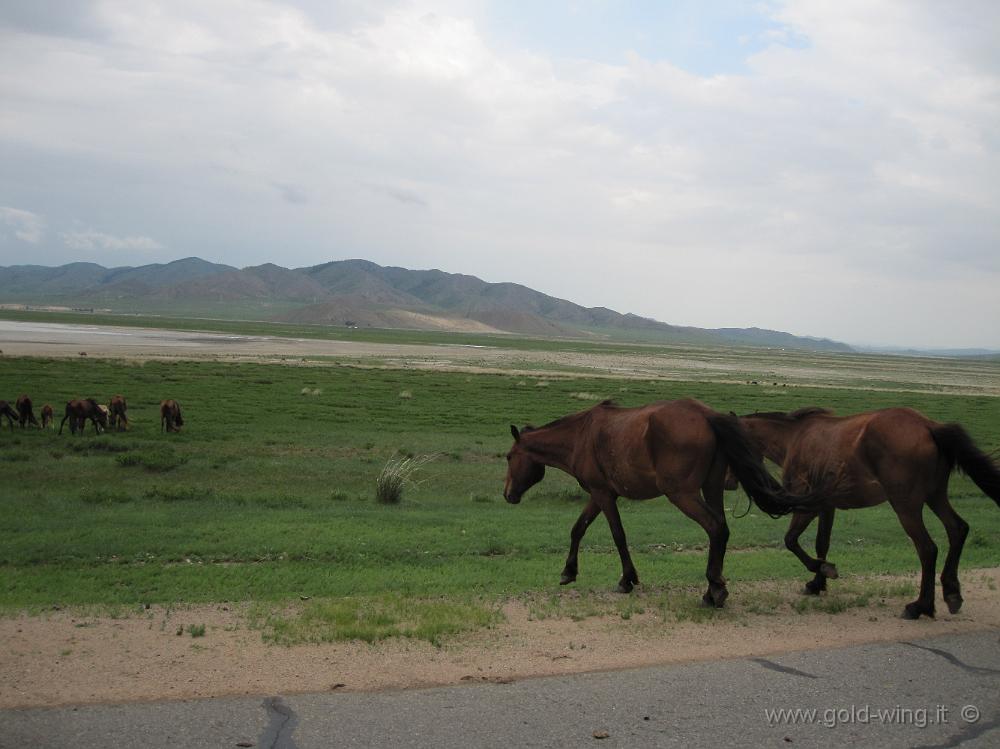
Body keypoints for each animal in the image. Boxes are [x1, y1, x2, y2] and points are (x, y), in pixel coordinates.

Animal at [500, 400, 828, 604]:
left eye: (509, 457)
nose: (507, 494)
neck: (580, 436)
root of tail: (706, 415)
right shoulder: (601, 493)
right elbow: (578, 529)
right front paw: (569, 571)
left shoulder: (603, 494)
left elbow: (618, 535)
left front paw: (627, 579)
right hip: (712, 487)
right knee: (721, 529)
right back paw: (715, 587)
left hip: (682, 494)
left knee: (715, 528)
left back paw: (715, 590)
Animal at [740, 410, 1000, 620]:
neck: (795, 438)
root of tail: (929, 426)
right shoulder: (827, 506)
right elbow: (821, 543)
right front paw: (818, 582)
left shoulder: (808, 506)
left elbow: (791, 540)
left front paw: (822, 570)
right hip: (935, 496)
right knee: (957, 529)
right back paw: (952, 593)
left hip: (906, 506)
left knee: (927, 549)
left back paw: (920, 607)